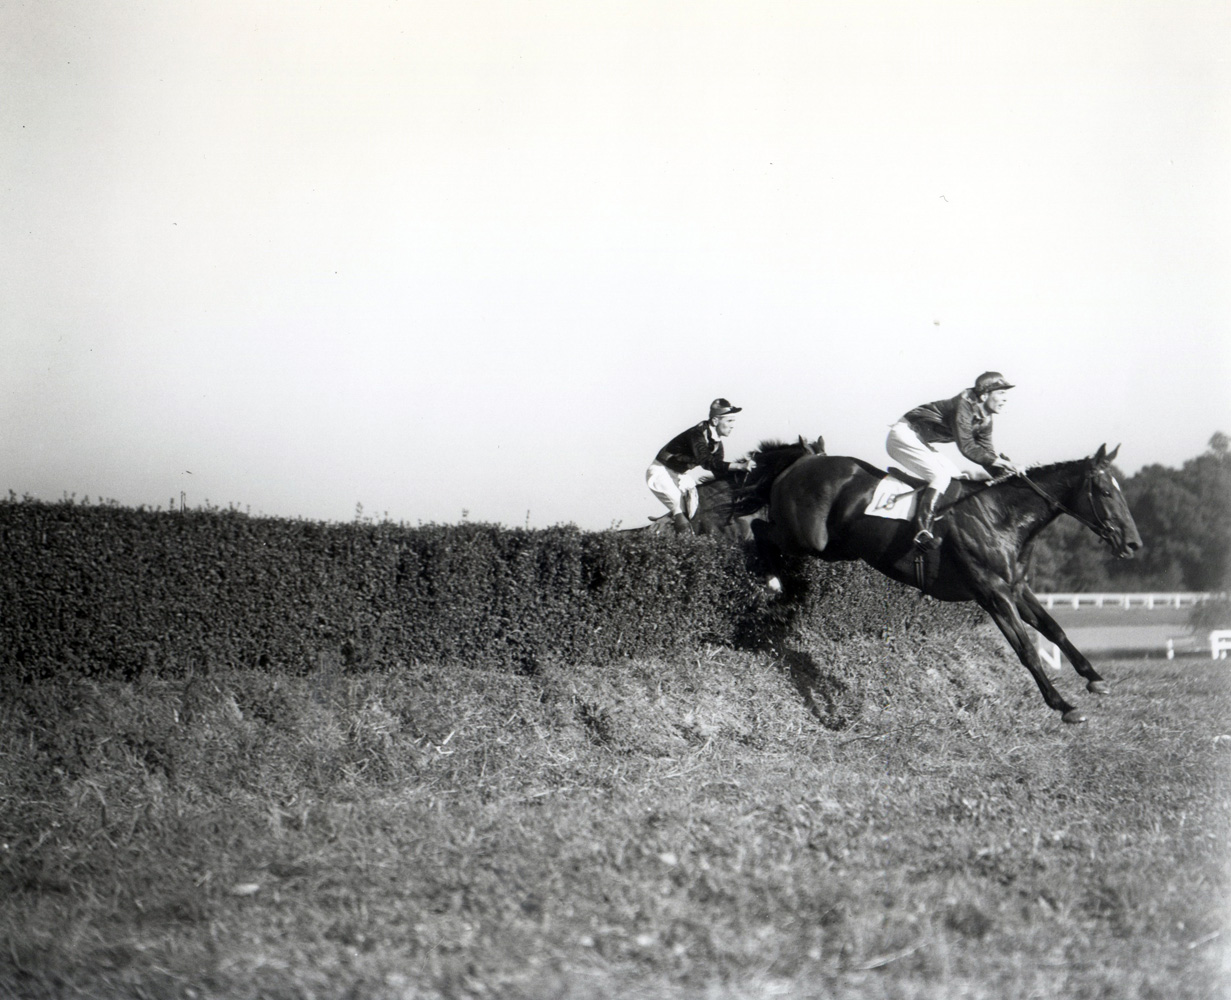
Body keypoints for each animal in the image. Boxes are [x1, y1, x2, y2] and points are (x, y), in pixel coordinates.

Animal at [728, 448, 1142, 724]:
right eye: (1106, 492)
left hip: (836, 548)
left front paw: (1095, 679)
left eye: (1121, 490)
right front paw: (1064, 706)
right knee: (760, 529)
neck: (1001, 518)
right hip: (810, 539)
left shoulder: (1016, 588)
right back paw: (773, 582)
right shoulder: (992, 594)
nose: (1134, 543)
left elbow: (1054, 630)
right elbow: (1026, 649)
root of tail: (799, 462)